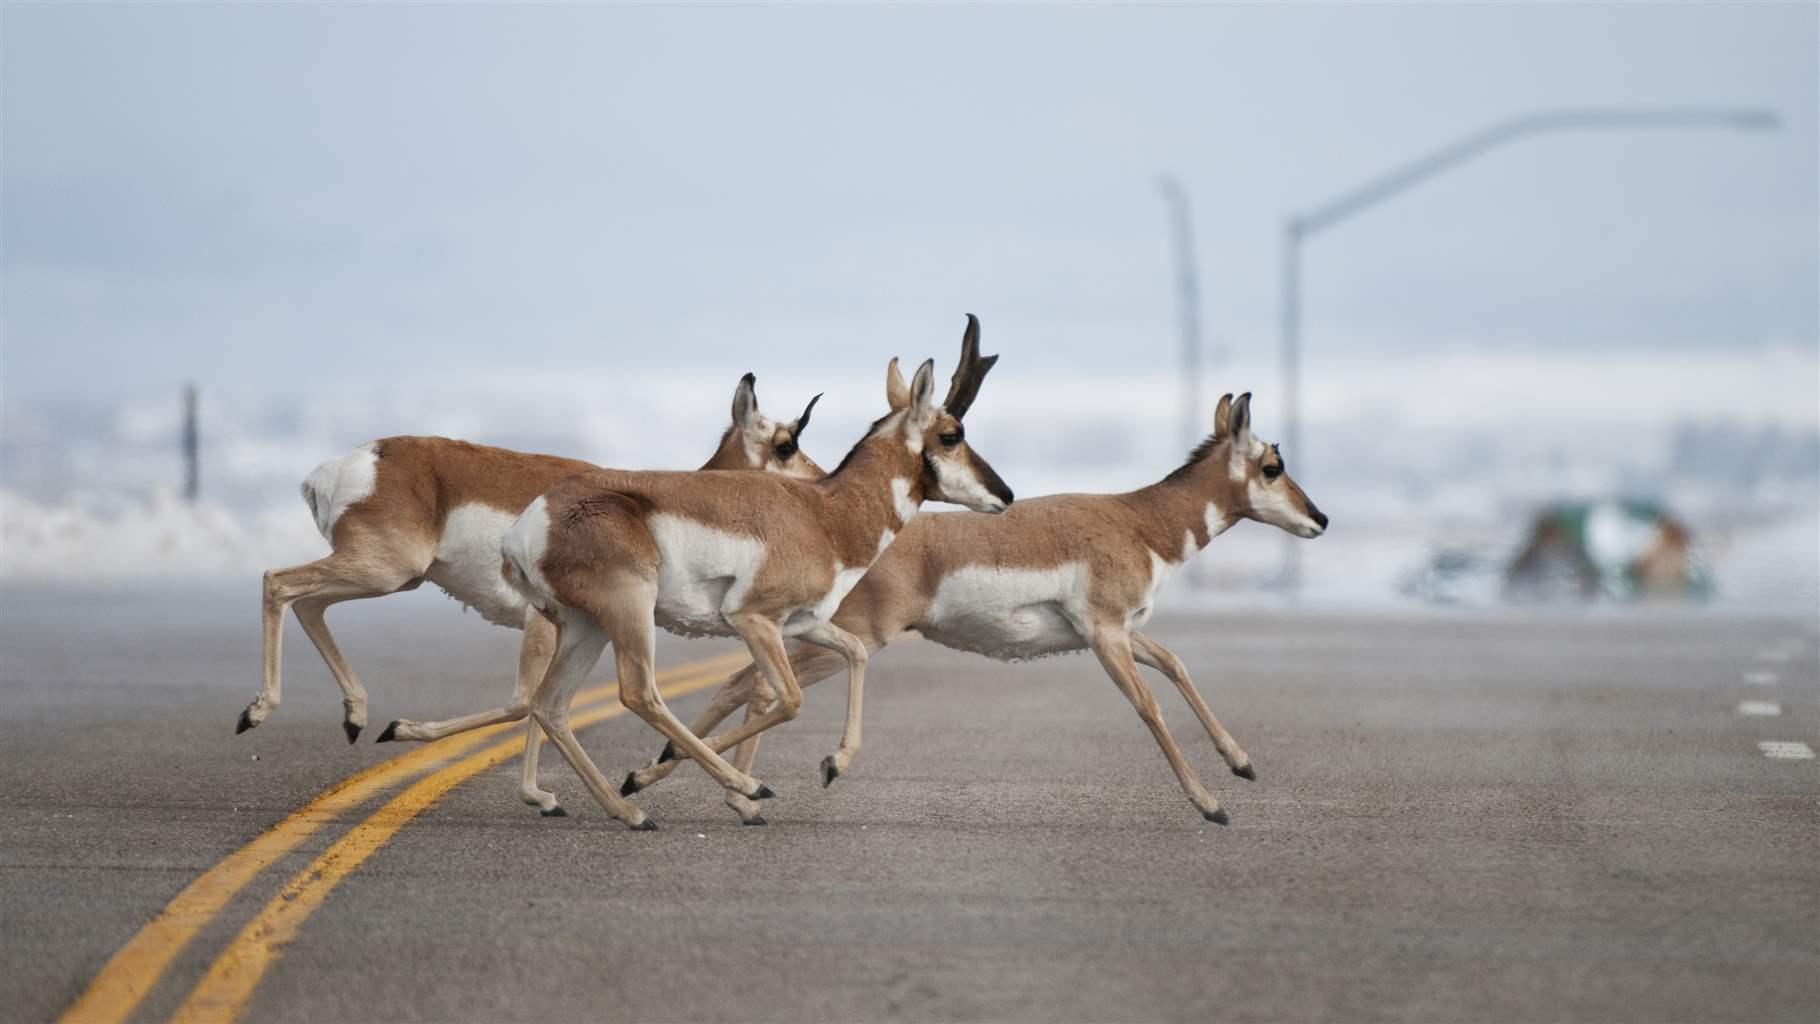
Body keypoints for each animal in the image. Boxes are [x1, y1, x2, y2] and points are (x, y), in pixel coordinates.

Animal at [240, 376, 819, 818]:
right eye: (785, 444)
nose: (820, 485)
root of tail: (353, 463)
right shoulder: (547, 626)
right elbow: (526, 702)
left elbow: (536, 704)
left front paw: (541, 796)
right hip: (384, 570)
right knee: (278, 581)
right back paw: (258, 713)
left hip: (389, 578)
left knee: (308, 601)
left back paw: (354, 717)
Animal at [498, 320, 1011, 833]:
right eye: (952, 434)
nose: (1005, 495)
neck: (825, 515)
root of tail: (533, 521)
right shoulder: (754, 620)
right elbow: (790, 699)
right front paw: (675, 775)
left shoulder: (806, 623)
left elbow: (856, 654)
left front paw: (833, 763)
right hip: (629, 612)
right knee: (638, 693)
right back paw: (716, 789)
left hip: (586, 625)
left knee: (551, 705)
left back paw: (627, 811)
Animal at [626, 391, 1324, 825]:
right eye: (1272, 465)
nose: (1319, 519)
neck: (1138, 519)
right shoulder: (1105, 637)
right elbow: (1148, 707)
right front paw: (1210, 803)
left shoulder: (1125, 634)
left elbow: (1178, 665)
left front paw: (1242, 763)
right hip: (844, 634)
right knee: (757, 686)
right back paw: (704, 788)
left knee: (745, 685)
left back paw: (705, 789)